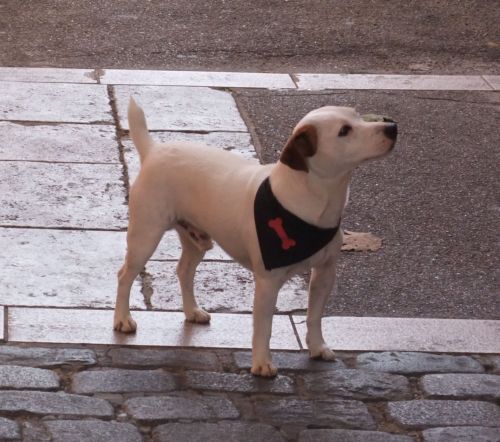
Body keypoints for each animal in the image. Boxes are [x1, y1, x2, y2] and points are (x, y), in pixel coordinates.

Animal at [113, 99, 398, 376]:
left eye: (358, 115)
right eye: (344, 131)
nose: (392, 127)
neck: (310, 202)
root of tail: (153, 151)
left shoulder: (325, 273)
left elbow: (315, 315)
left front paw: (318, 347)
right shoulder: (267, 283)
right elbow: (263, 326)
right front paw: (261, 363)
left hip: (196, 239)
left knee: (184, 270)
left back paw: (192, 311)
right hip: (146, 235)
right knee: (125, 274)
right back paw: (122, 319)